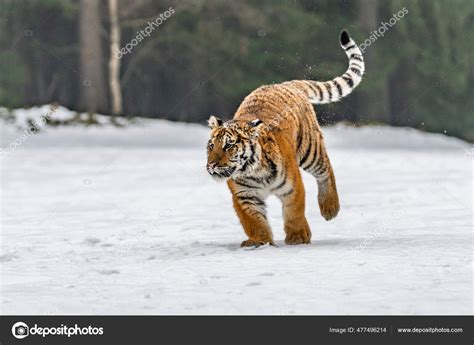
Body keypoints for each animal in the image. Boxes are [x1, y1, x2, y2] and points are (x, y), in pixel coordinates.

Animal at [206, 28, 364, 245]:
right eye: (211, 146)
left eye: (229, 146)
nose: (212, 165)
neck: (252, 171)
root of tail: (286, 83)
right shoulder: (244, 196)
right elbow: (252, 220)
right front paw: (259, 241)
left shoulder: (292, 186)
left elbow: (293, 211)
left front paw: (298, 237)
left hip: (310, 150)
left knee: (326, 170)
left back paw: (330, 207)